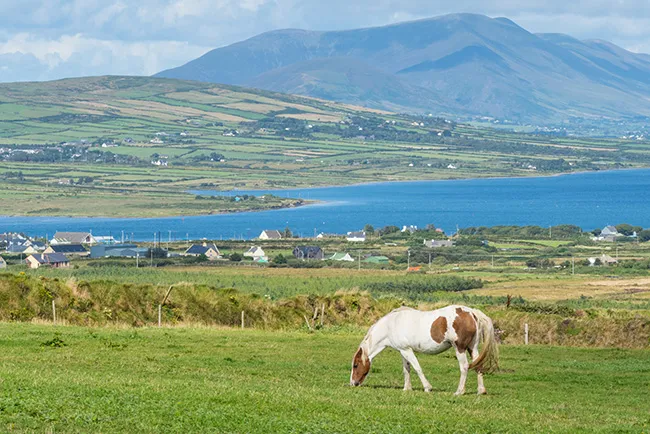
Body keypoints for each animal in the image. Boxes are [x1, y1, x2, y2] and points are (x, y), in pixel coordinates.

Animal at [350, 305, 499, 395]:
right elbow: (406, 369)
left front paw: (427, 387)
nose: (353, 383)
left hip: (460, 348)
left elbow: (417, 368)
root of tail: (472, 312)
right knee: (478, 365)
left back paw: (459, 391)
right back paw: (481, 391)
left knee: (464, 367)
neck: (390, 325)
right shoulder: (403, 351)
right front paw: (407, 388)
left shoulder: (407, 350)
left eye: (356, 365)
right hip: (472, 347)